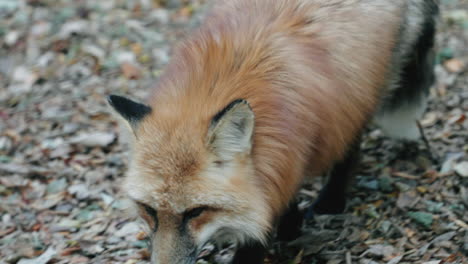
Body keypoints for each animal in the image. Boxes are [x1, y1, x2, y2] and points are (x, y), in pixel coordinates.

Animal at [108, 0, 436, 262]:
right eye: (149, 210)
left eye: (196, 212)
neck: (216, 85)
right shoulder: (281, 159)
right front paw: (291, 226)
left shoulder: (286, 155)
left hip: (361, 96)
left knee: (349, 147)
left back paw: (331, 201)